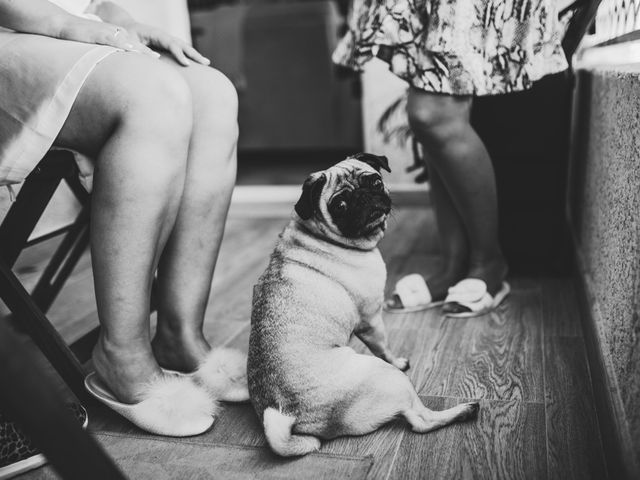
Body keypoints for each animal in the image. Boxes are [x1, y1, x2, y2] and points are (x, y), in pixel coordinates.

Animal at [248, 155, 478, 458]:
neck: (316, 236)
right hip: (389, 378)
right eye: (340, 205)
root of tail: (297, 419)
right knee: (420, 420)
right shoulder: (371, 319)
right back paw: (464, 410)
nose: (365, 197)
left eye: (375, 182)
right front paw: (398, 358)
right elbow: (383, 346)